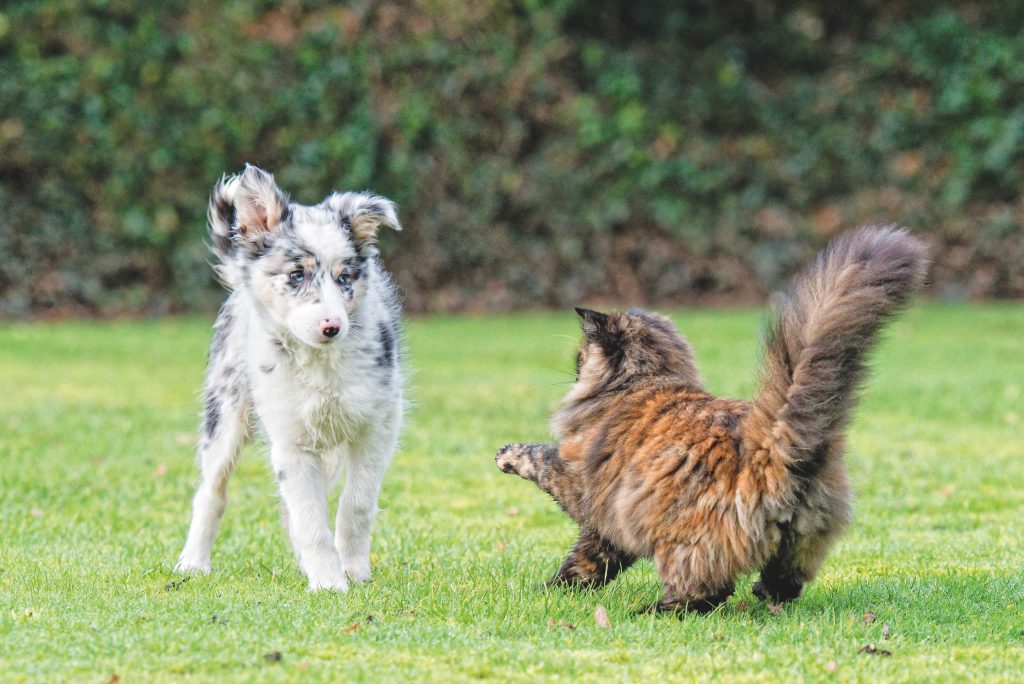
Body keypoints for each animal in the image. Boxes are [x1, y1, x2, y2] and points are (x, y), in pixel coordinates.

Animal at [174, 165, 401, 593]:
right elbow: (310, 518)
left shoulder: (377, 426)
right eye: (297, 275)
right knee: (211, 492)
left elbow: (356, 504)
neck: (320, 364)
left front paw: (353, 571)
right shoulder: (290, 440)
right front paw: (328, 583)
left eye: (345, 277)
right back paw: (192, 563)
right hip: (225, 412)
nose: (332, 326)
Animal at [495, 225, 929, 614]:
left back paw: (653, 611)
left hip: (683, 540)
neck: (644, 381)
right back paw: (763, 595)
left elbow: (541, 459)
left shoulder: (583, 486)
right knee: (785, 583)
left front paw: (508, 456)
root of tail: (772, 441)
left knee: (705, 592)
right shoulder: (607, 524)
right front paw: (557, 589)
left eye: (580, 357)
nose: (574, 369)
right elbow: (587, 561)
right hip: (802, 538)